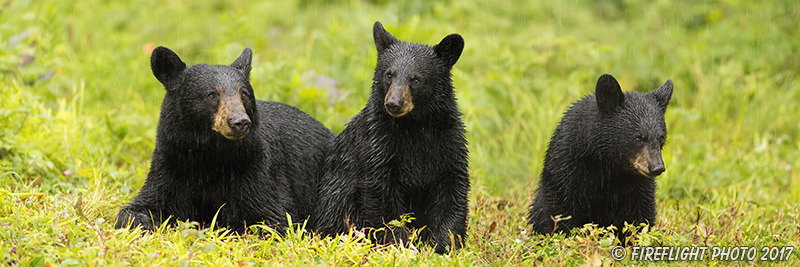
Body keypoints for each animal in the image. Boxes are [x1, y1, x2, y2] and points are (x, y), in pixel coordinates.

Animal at [115, 45, 334, 232]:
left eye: (244, 94)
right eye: (211, 94)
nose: (239, 121)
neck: (212, 155)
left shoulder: (257, 168)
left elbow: (272, 217)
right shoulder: (170, 165)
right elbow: (140, 208)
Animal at [312, 22, 472, 254]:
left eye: (416, 79)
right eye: (389, 74)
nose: (394, 103)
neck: (415, 126)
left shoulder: (449, 143)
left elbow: (452, 191)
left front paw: (447, 245)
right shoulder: (378, 145)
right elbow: (383, 197)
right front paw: (399, 244)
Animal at [528, 73, 672, 237]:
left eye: (661, 137)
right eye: (638, 138)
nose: (657, 167)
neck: (609, 164)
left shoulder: (638, 183)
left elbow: (641, 214)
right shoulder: (566, 165)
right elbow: (560, 209)